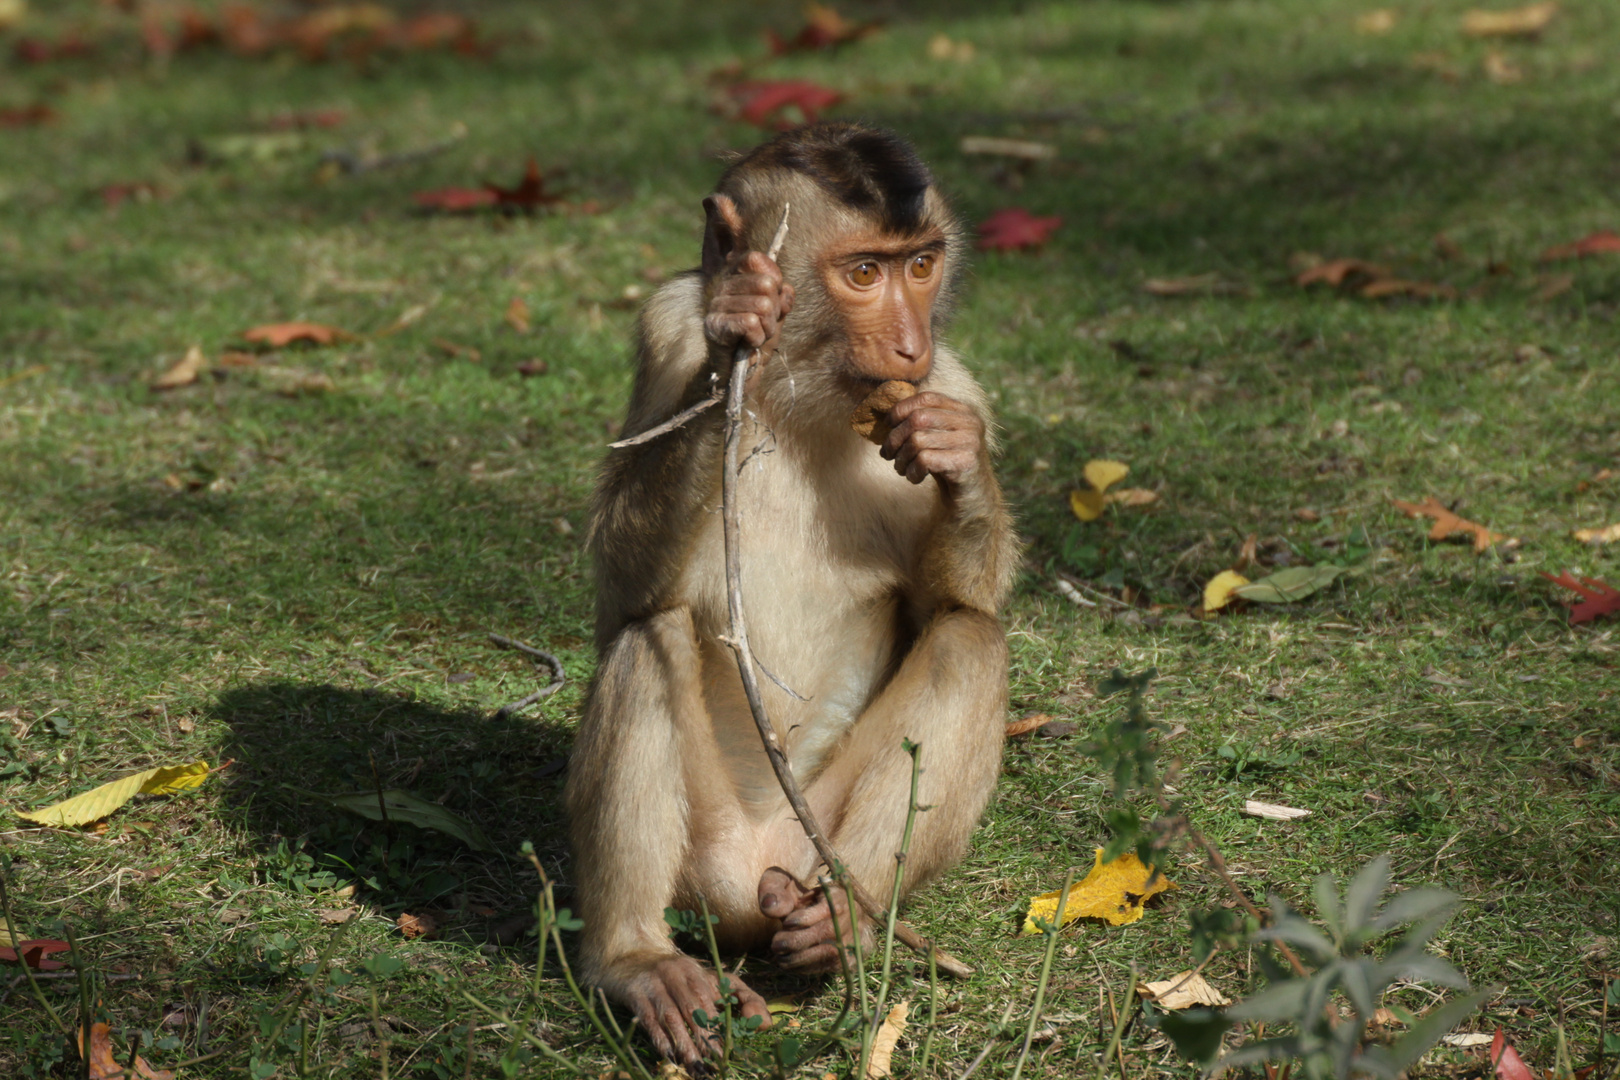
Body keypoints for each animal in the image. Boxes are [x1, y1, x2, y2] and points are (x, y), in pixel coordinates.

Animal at [563, 122, 1004, 1068]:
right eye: (864, 273)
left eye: (922, 264)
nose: (908, 346)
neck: (804, 386)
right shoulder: (664, 325)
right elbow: (624, 590)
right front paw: (737, 318)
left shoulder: (958, 381)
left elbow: (952, 606)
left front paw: (955, 454)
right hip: (706, 864)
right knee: (649, 639)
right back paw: (637, 960)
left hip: (813, 849)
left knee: (971, 641)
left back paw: (847, 921)